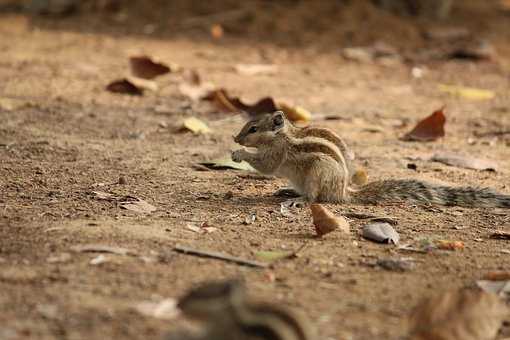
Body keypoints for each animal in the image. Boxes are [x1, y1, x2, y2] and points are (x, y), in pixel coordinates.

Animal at [233, 111, 510, 209]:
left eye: (253, 129)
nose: (235, 138)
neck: (283, 134)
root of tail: (343, 192)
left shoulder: (277, 152)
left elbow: (267, 165)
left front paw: (240, 154)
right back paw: (287, 192)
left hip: (317, 173)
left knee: (315, 198)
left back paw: (299, 200)